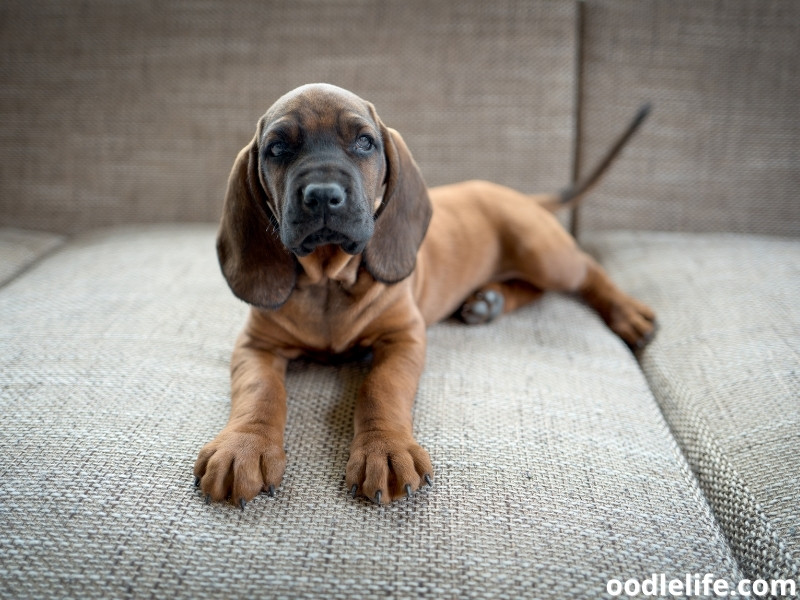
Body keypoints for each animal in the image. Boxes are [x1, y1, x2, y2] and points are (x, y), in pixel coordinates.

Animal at [195, 83, 656, 506]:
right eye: (277, 148)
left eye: (364, 142)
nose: (323, 196)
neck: (328, 282)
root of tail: (519, 195)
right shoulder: (256, 346)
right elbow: (259, 392)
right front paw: (243, 447)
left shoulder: (403, 338)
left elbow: (380, 387)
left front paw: (385, 449)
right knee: (534, 289)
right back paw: (489, 301)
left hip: (544, 253)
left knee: (588, 270)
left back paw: (627, 313)